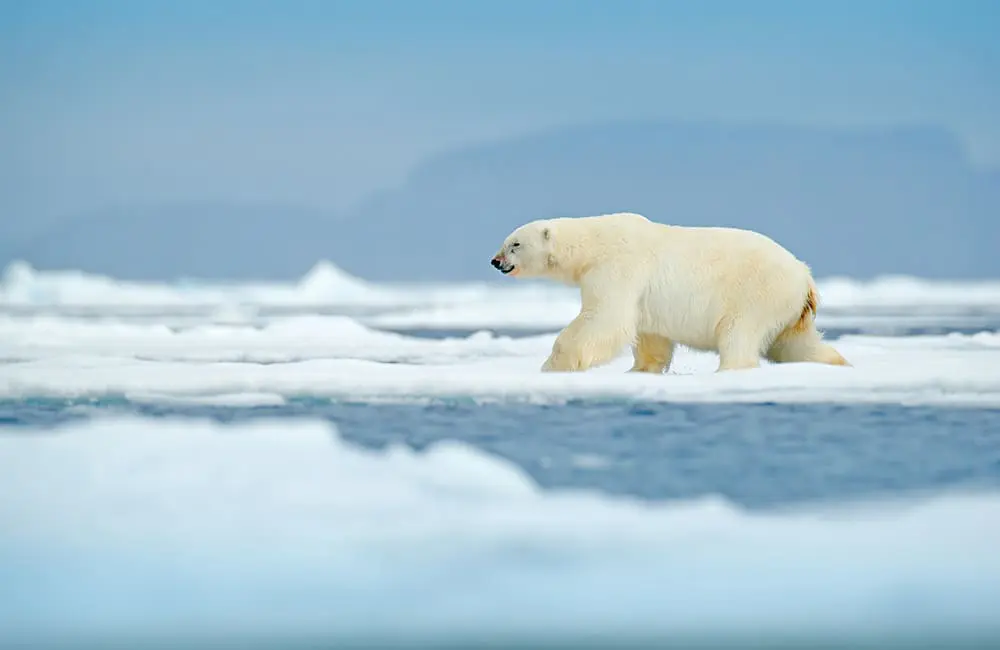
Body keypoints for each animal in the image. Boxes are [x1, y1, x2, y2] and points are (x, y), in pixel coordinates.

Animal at [489, 212, 850, 373]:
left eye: (514, 244)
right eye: (506, 242)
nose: (495, 261)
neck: (593, 243)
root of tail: (806, 278)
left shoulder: (617, 267)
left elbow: (605, 318)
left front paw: (552, 365)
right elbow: (651, 335)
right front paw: (640, 370)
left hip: (758, 293)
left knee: (739, 334)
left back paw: (729, 370)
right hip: (790, 310)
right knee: (796, 344)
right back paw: (836, 362)